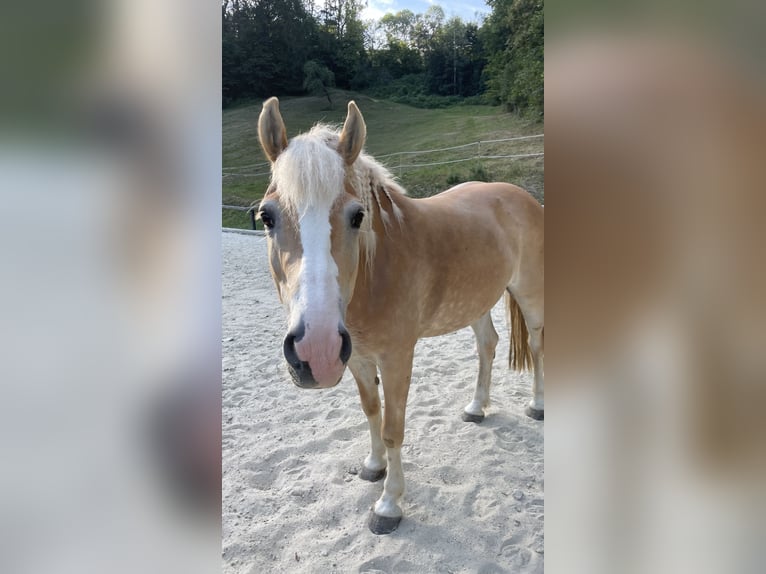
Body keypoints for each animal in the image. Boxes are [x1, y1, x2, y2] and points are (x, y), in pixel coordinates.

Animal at [258, 98, 544, 536]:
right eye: (267, 217)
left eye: (357, 216)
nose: (315, 351)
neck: (377, 269)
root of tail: (521, 196)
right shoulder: (357, 358)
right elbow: (371, 411)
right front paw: (373, 466)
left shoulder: (396, 359)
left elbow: (393, 429)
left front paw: (389, 504)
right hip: (476, 302)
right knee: (488, 345)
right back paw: (476, 407)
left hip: (529, 295)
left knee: (537, 344)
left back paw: (538, 405)